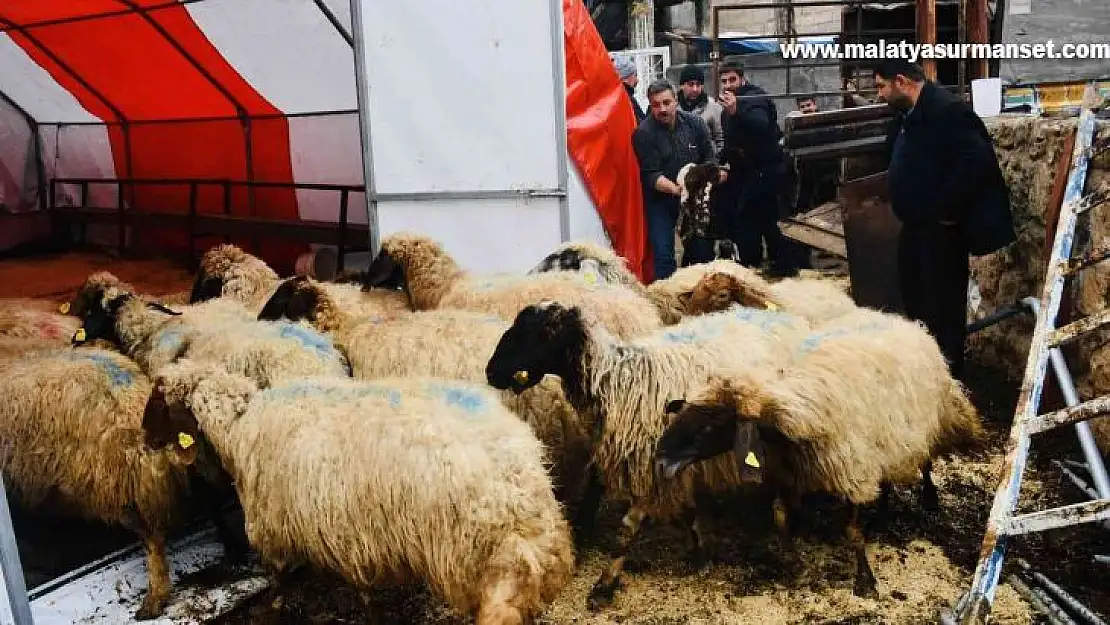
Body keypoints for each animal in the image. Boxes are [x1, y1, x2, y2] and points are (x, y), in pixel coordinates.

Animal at [144, 361, 577, 625]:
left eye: (158, 402)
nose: (145, 439)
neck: (238, 424)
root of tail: (522, 489)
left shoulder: (279, 522)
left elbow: (281, 580)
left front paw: (275, 609)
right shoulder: (348, 530)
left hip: (476, 558)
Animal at [481, 299, 812, 608]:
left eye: (540, 333)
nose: (491, 372)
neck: (618, 381)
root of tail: (790, 318)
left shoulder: (652, 463)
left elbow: (629, 527)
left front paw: (604, 584)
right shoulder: (673, 462)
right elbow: (687, 511)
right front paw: (699, 550)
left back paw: (783, 528)